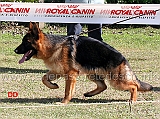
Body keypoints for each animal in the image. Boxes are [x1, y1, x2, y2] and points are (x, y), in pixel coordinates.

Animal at [14, 22, 152, 104]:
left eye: (26, 42)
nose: (14, 50)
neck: (53, 46)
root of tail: (122, 57)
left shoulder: (70, 74)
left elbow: (67, 91)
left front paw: (64, 102)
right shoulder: (57, 71)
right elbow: (44, 78)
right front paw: (53, 86)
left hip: (116, 81)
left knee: (134, 86)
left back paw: (132, 100)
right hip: (92, 74)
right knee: (103, 86)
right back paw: (89, 94)